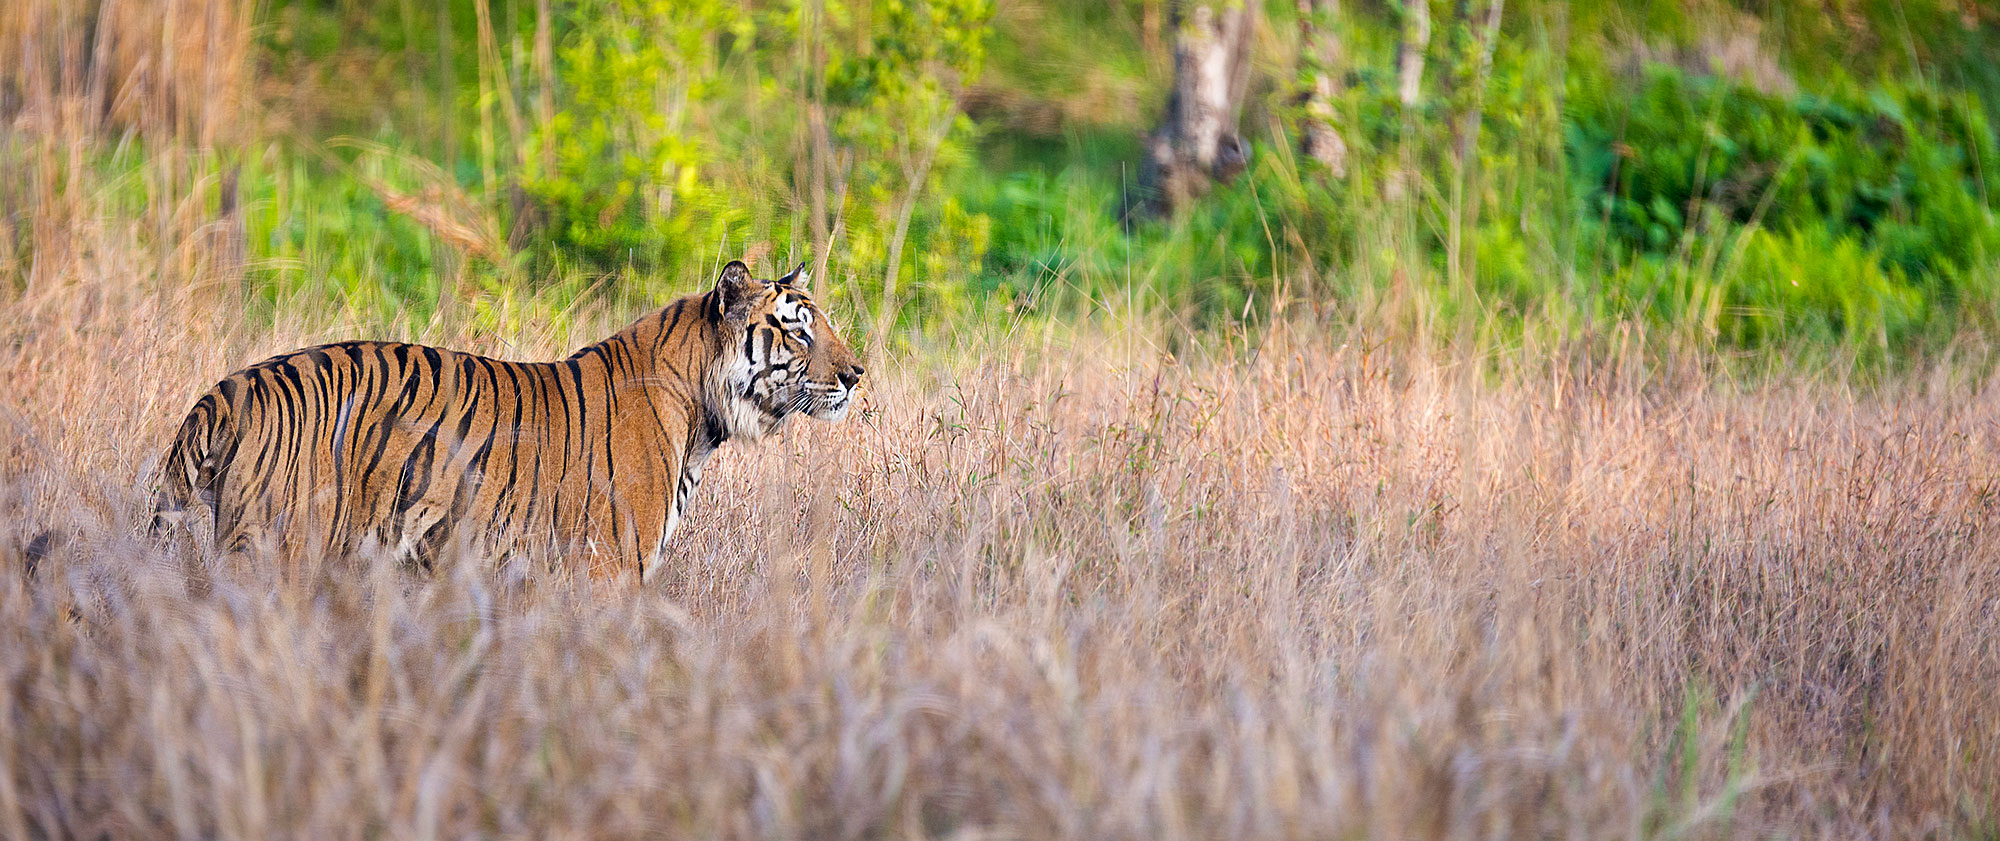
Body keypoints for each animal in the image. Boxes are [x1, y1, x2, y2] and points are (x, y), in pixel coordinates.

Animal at [151, 259, 863, 582]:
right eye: (798, 331)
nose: (857, 374)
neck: (701, 416)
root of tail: (230, 388)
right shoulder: (608, 570)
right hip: (277, 551)